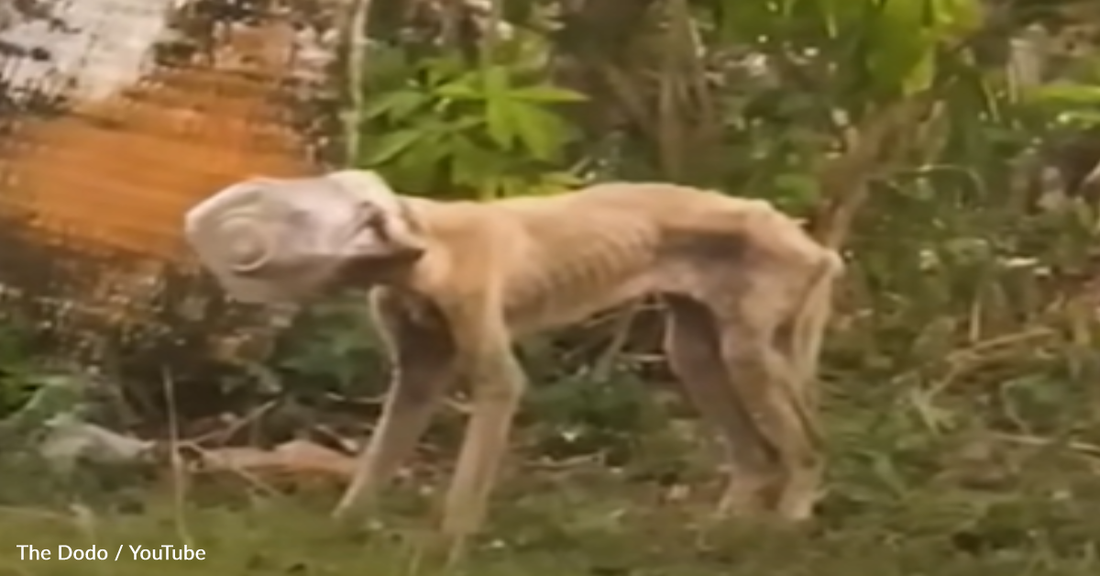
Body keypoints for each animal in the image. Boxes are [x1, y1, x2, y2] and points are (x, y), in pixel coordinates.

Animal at [184, 170, 844, 562]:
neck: (429, 246)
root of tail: (814, 245)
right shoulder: (417, 370)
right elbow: (381, 454)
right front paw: (343, 527)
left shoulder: (488, 355)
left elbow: (485, 429)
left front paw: (448, 547)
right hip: (697, 348)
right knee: (750, 447)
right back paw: (723, 531)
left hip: (753, 348)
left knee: (808, 445)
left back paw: (788, 524)